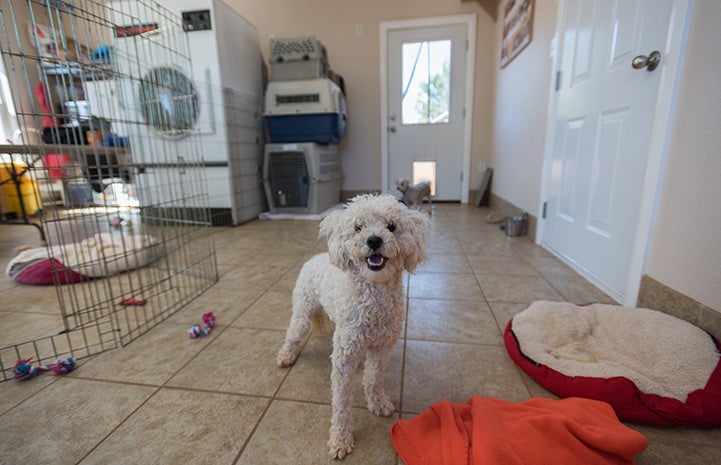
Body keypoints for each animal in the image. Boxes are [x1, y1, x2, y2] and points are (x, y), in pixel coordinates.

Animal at [278, 194, 428, 458]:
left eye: (391, 226)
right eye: (359, 227)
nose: (374, 240)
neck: (374, 293)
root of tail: (315, 258)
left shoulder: (381, 348)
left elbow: (373, 378)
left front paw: (377, 402)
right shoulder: (344, 357)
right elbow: (341, 402)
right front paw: (340, 438)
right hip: (303, 312)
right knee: (293, 333)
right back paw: (286, 355)